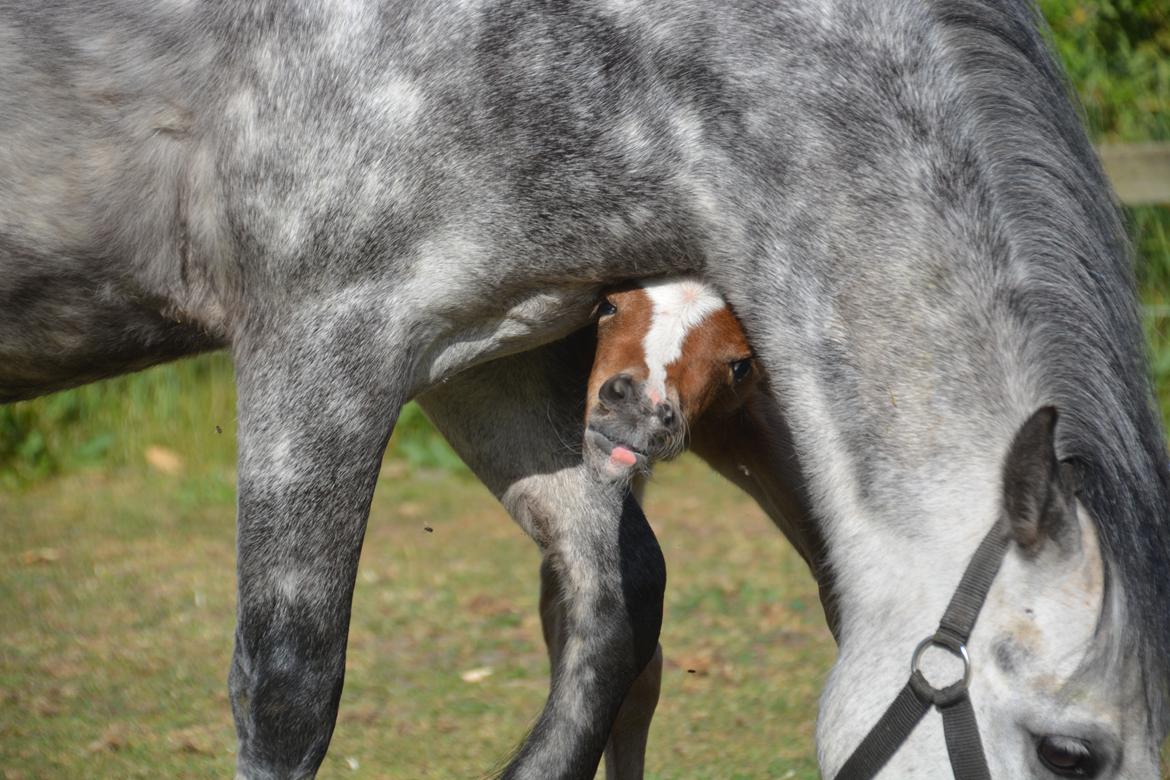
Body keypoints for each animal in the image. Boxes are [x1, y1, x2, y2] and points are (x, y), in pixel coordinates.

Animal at [2, 1, 1167, 778]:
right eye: (1072, 755)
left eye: (737, 360)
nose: (642, 412)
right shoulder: (319, 333)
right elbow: (289, 685)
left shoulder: (489, 349)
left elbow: (606, 610)